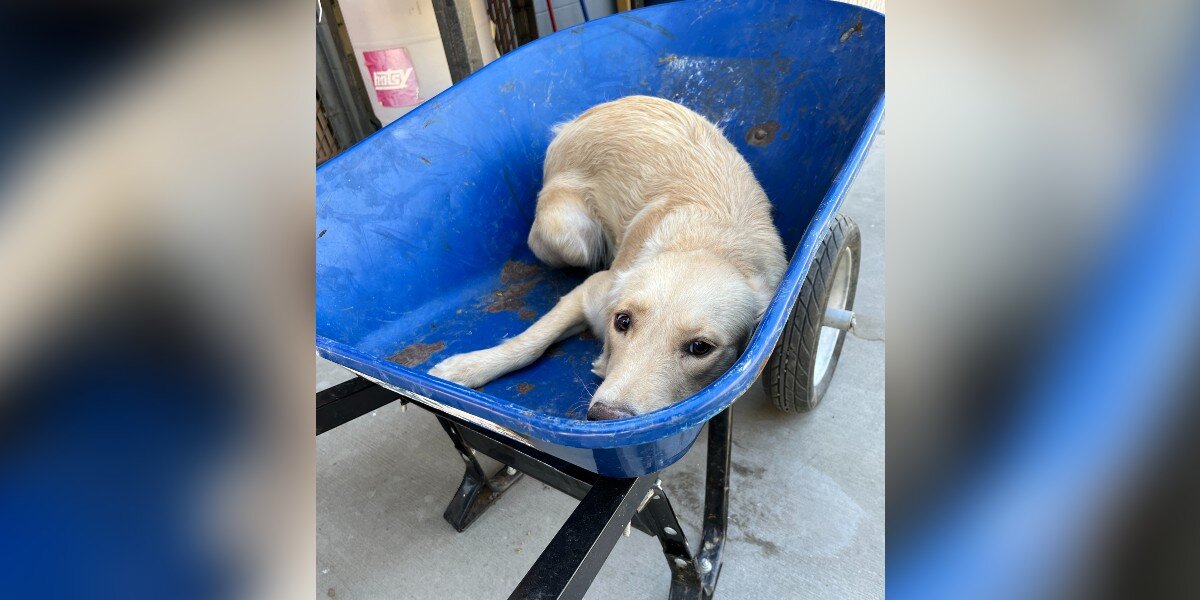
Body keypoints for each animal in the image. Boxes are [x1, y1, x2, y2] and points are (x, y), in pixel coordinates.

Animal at [427, 96, 782, 420]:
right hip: (567, 237)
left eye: (700, 348)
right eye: (622, 322)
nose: (604, 417)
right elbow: (530, 342)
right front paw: (468, 367)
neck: (709, 244)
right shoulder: (591, 291)